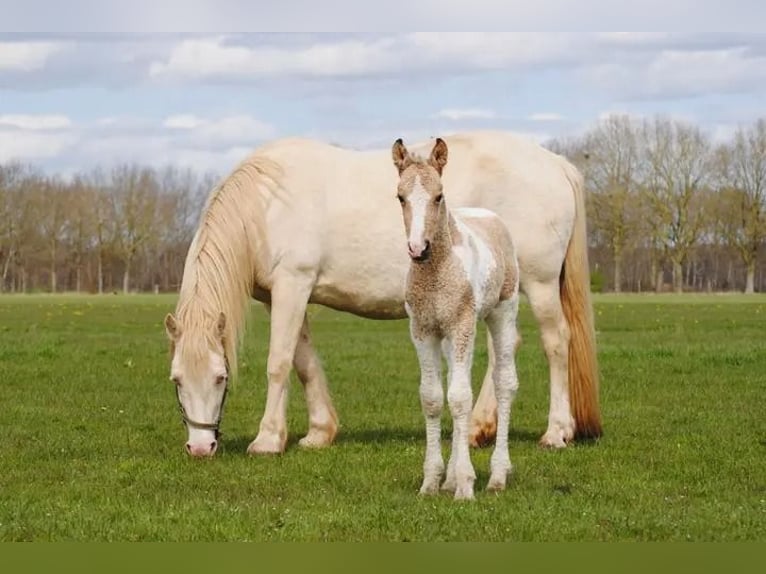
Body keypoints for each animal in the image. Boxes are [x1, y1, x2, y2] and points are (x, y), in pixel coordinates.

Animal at [163, 130, 601, 458]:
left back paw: (557, 432)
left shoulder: (292, 284)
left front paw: (268, 439)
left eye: (221, 378)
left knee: (556, 343)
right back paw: (480, 428)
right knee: (504, 349)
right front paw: (318, 432)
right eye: (176, 380)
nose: (200, 448)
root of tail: (556, 164)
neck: (266, 205)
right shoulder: (282, 296)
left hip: (540, 285)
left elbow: (279, 362)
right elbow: (304, 362)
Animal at [393, 137, 520, 500]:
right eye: (400, 197)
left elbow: (461, 399)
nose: (418, 248)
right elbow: (434, 398)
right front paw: (432, 481)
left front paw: (465, 483)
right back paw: (450, 478)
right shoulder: (423, 330)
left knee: (504, 383)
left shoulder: (463, 325)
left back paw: (497, 475)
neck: (436, 272)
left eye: (439, 195)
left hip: (502, 312)